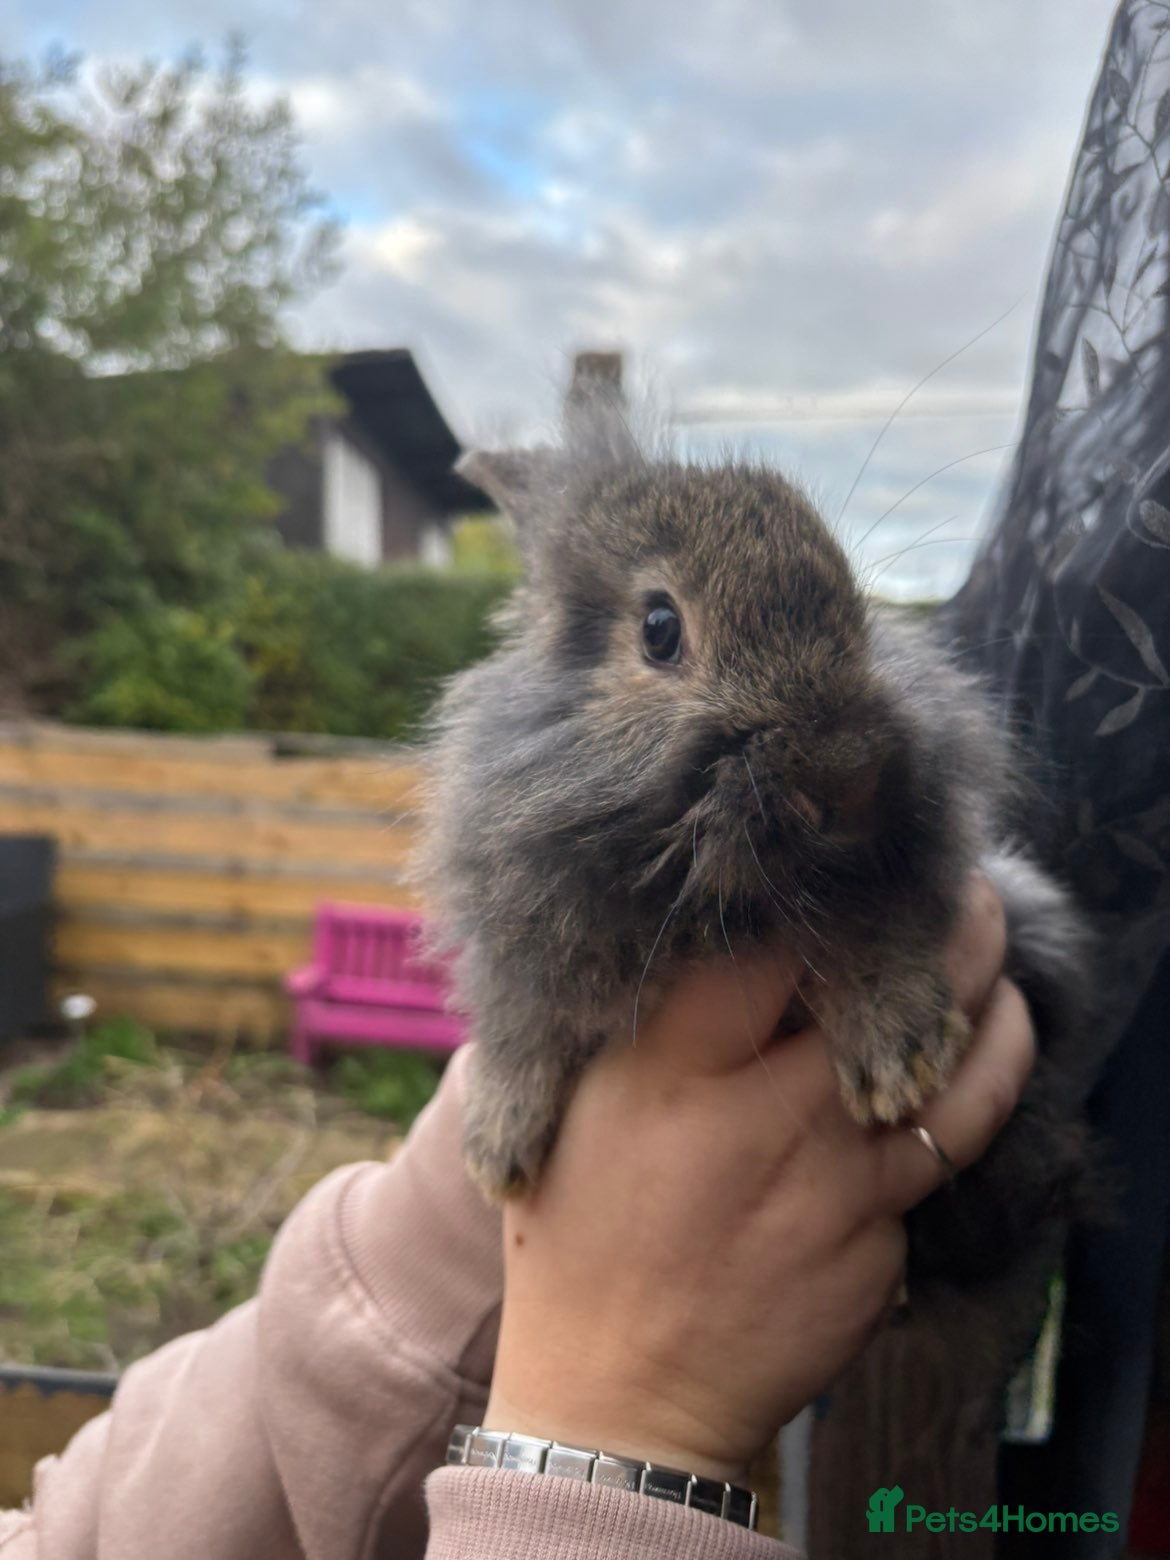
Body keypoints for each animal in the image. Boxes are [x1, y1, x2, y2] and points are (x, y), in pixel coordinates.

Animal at [417, 407, 1098, 1309]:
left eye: (856, 611)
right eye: (660, 628)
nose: (849, 777)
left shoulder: (898, 872)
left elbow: (877, 928)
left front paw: (900, 1058)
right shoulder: (525, 936)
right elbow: (519, 1023)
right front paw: (497, 1146)